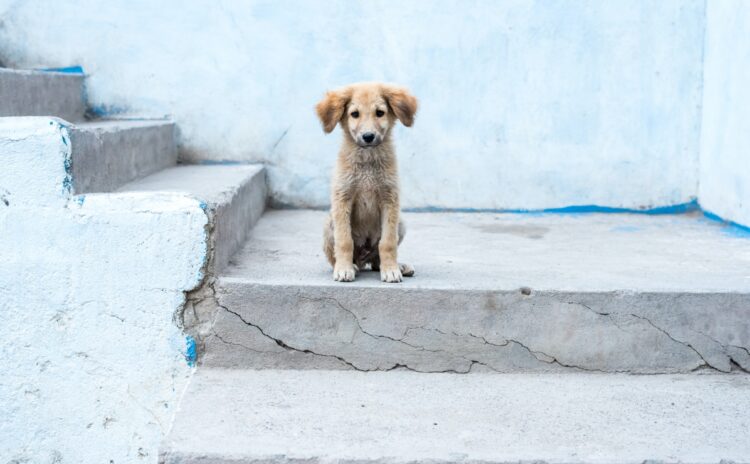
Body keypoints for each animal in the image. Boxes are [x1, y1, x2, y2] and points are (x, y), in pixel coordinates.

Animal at [318, 83, 420, 282]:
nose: (368, 136)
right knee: (341, 257)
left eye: (380, 113)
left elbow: (387, 243)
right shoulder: (342, 199)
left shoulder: (390, 199)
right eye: (354, 114)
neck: (367, 162)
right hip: (329, 224)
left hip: (401, 223)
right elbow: (344, 241)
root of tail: (363, 257)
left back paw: (397, 266)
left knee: (375, 260)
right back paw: (350, 266)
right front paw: (344, 269)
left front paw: (391, 270)